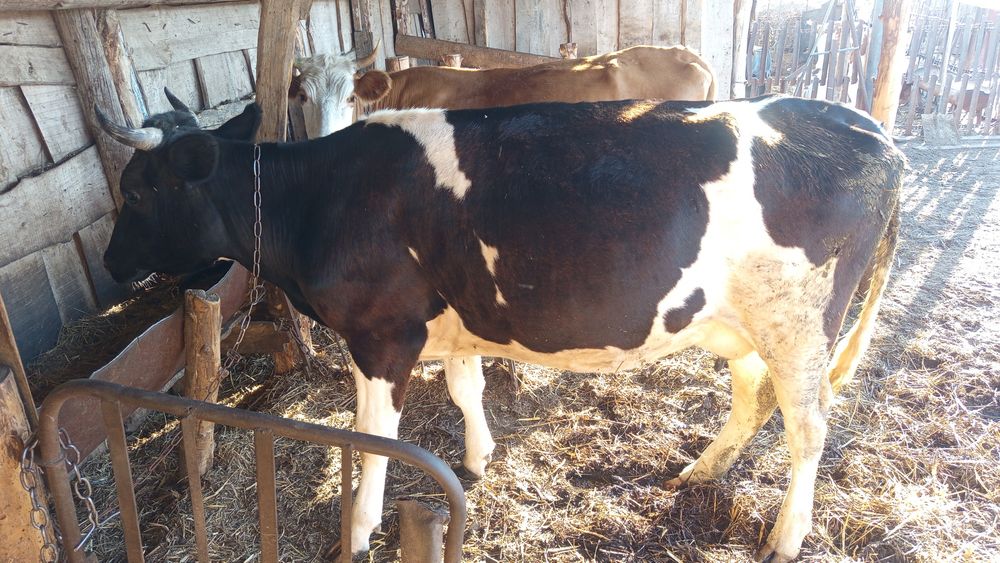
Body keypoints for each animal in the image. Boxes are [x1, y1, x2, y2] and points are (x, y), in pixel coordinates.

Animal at [97, 94, 903, 561]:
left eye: (134, 191)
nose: (106, 263)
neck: (321, 201)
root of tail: (864, 124)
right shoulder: (452, 324)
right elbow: (466, 388)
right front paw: (480, 459)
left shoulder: (382, 337)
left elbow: (373, 439)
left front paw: (356, 530)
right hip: (740, 324)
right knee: (753, 398)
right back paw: (700, 472)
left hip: (799, 324)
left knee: (808, 428)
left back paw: (786, 536)